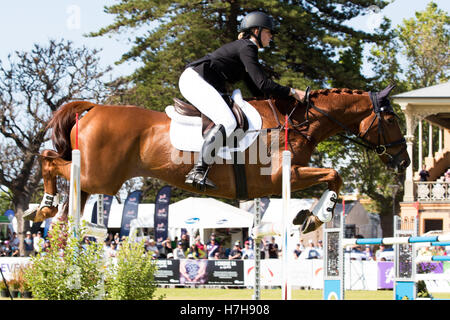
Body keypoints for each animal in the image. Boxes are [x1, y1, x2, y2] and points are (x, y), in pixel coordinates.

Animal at [25, 84, 412, 235]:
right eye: (392, 119)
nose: (404, 162)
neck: (297, 121)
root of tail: (93, 109)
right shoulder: (282, 177)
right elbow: (335, 175)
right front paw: (315, 217)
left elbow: (334, 176)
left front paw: (308, 216)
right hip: (102, 176)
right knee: (49, 159)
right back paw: (43, 206)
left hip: (95, 178)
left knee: (67, 188)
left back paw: (51, 213)